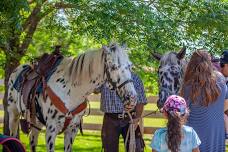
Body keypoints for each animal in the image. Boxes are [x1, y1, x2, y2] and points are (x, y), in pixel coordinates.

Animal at [7, 43, 137, 152]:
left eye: (130, 66)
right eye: (114, 67)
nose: (132, 98)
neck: (71, 90)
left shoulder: (72, 130)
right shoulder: (51, 130)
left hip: (36, 122)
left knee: (32, 140)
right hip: (14, 115)